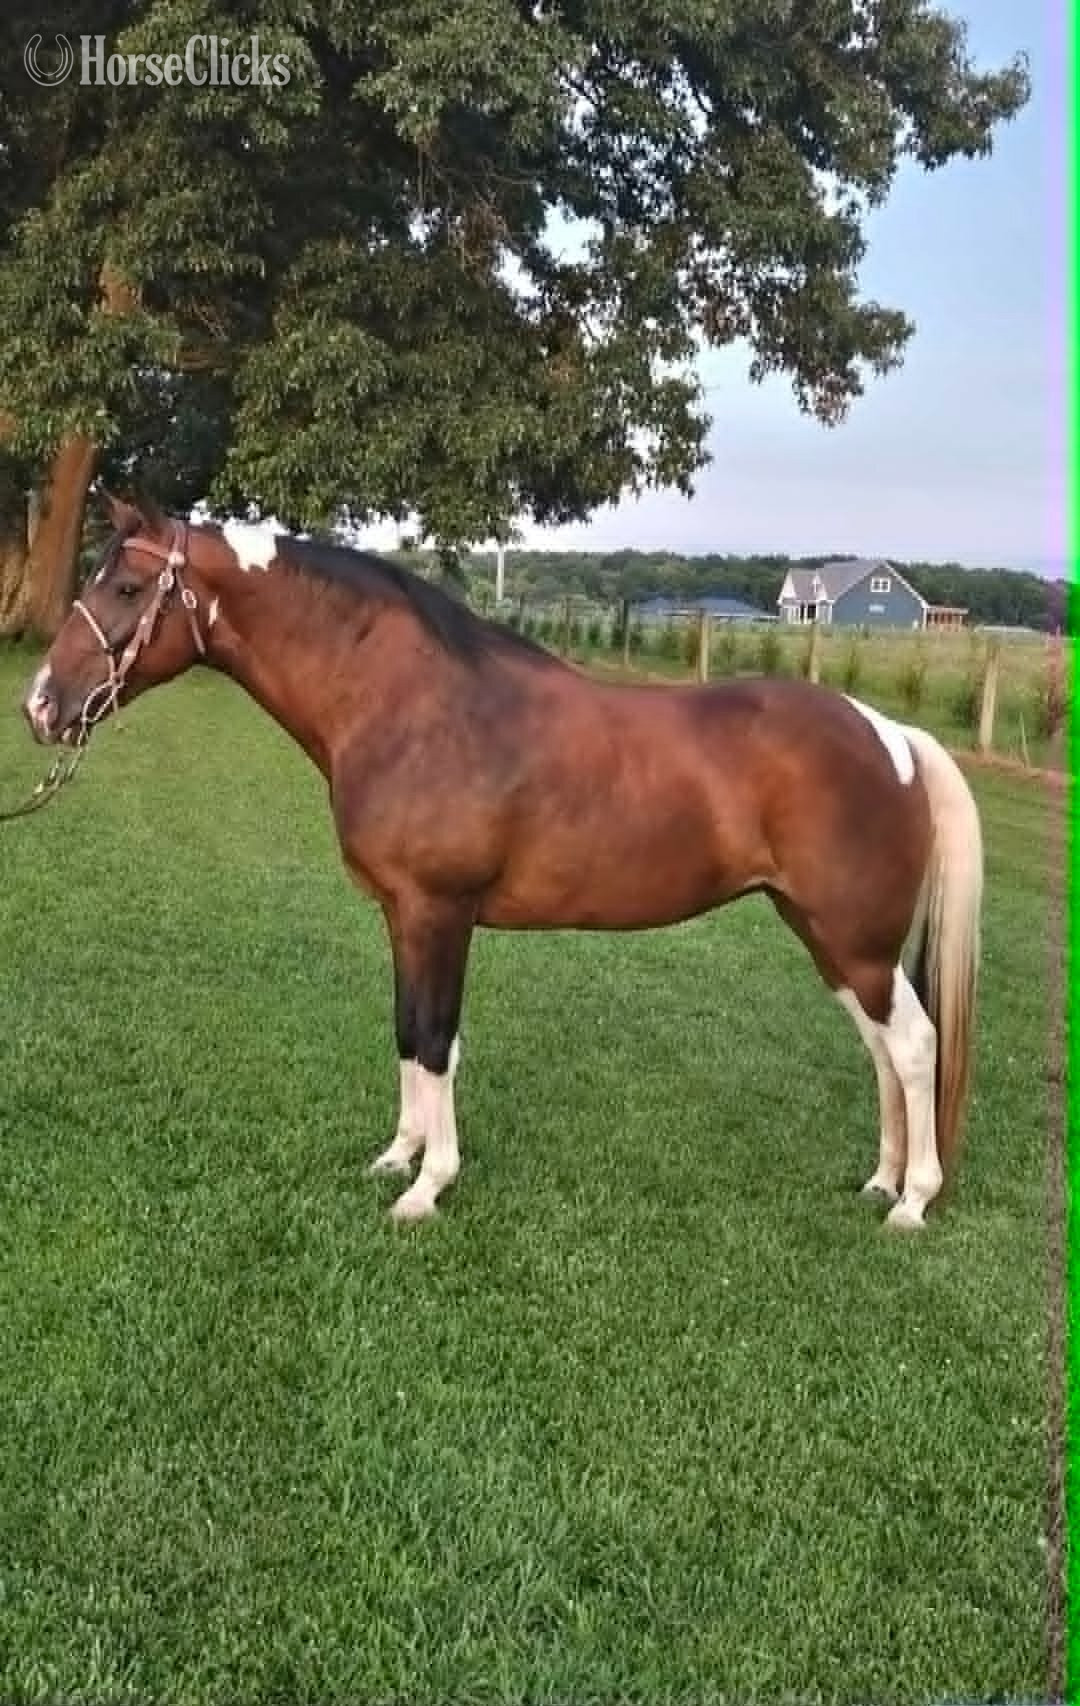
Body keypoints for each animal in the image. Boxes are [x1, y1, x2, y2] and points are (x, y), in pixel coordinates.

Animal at [23, 492, 983, 1230]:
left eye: (127, 586)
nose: (41, 705)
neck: (409, 704)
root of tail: (891, 734)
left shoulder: (440, 912)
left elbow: (438, 1039)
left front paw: (427, 1189)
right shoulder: (402, 916)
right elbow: (408, 1030)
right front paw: (397, 1156)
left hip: (854, 942)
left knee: (913, 1044)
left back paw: (913, 1202)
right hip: (831, 941)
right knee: (882, 1048)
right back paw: (881, 1181)